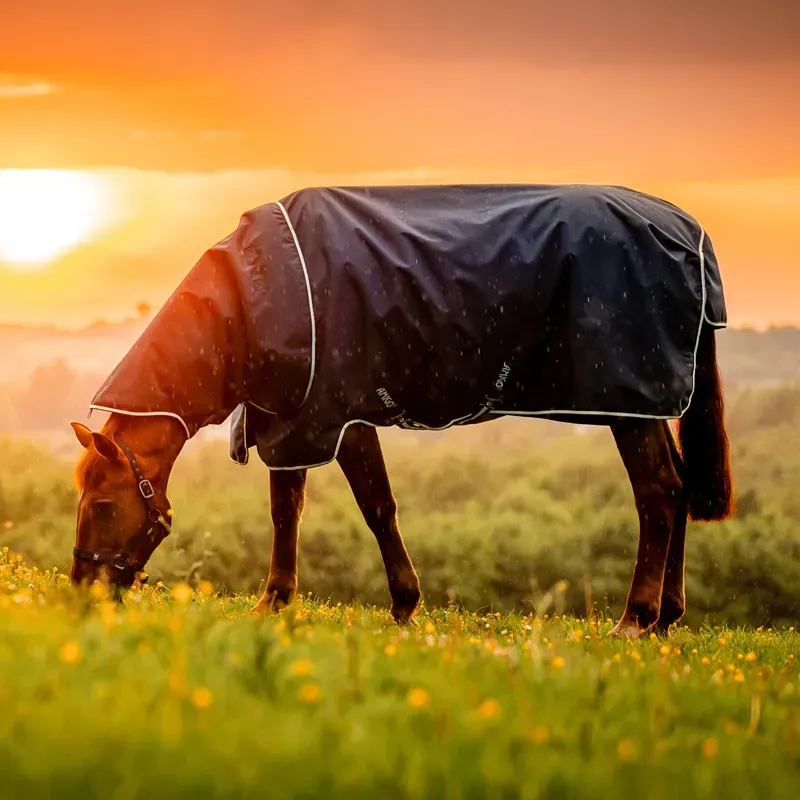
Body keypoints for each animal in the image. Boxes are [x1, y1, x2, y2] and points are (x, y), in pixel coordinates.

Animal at [70, 184, 733, 637]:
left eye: (101, 505)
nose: (82, 591)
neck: (250, 299)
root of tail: (688, 231)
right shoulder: (292, 420)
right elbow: (286, 511)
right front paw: (274, 602)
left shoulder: (340, 415)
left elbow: (377, 507)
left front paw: (404, 604)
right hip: (646, 407)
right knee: (678, 484)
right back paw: (666, 618)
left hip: (629, 403)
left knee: (658, 491)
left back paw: (635, 618)